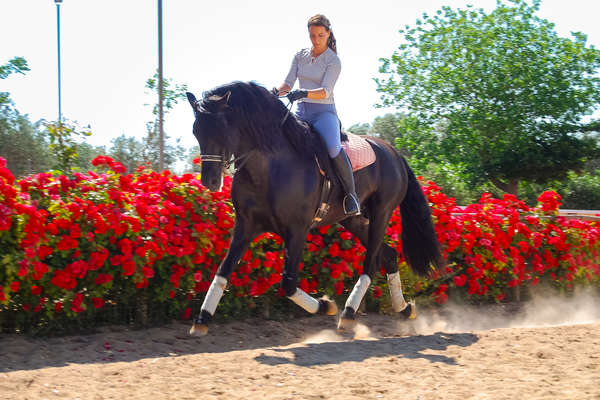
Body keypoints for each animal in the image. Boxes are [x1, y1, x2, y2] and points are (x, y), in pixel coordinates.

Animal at [188, 80, 446, 334]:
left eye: (222, 128)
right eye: (196, 131)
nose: (210, 181)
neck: (268, 168)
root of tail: (394, 154)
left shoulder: (297, 230)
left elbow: (289, 283)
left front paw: (325, 305)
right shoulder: (245, 226)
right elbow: (223, 270)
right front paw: (202, 319)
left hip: (381, 214)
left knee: (370, 264)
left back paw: (349, 313)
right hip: (352, 219)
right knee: (389, 255)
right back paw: (404, 308)